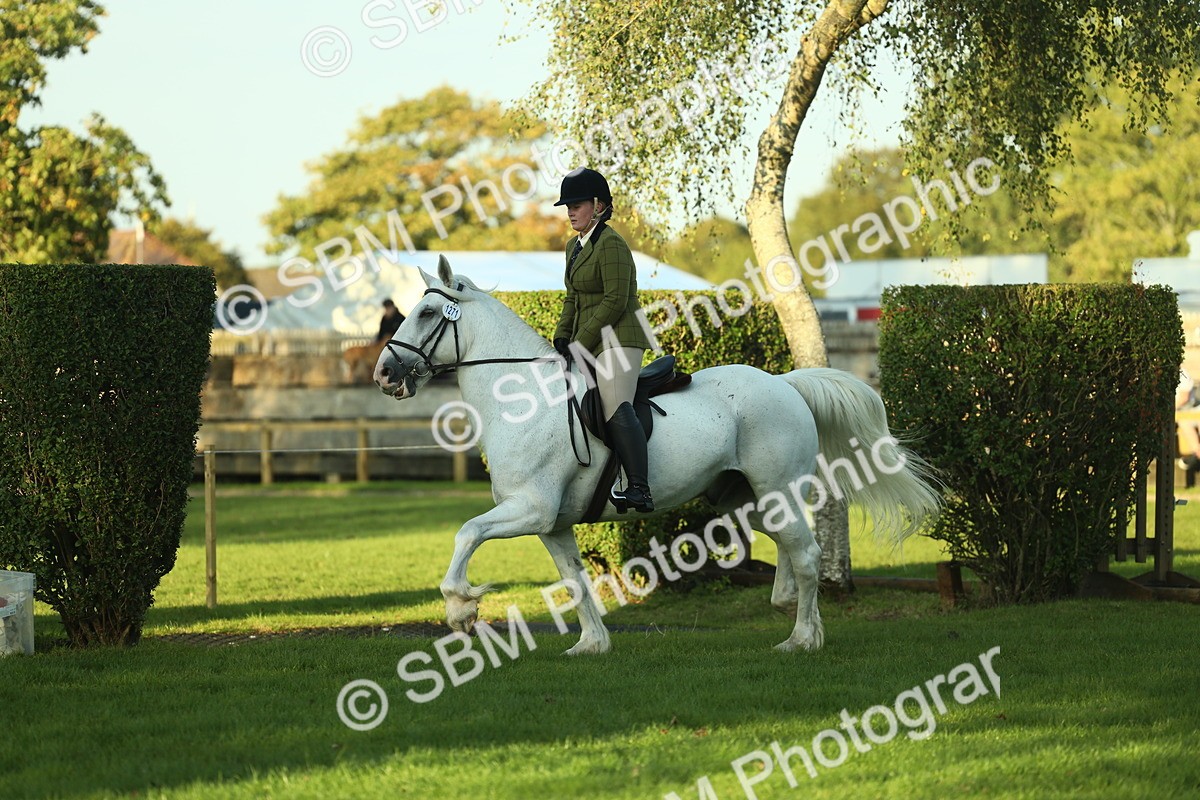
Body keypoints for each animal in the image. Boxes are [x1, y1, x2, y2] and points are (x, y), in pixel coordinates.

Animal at [374, 256, 941, 655]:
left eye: (427, 312)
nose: (383, 373)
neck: (524, 397)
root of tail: (785, 383)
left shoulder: (528, 510)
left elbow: (467, 533)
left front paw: (461, 610)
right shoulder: (551, 523)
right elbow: (575, 580)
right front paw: (591, 645)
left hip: (776, 486)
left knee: (806, 553)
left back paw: (801, 638)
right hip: (744, 499)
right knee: (793, 545)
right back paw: (794, 612)